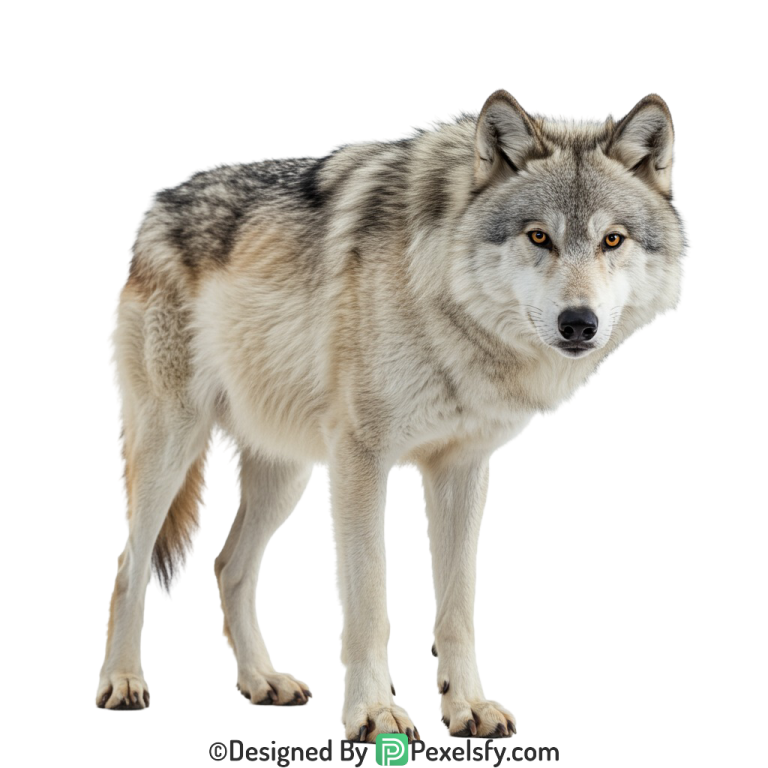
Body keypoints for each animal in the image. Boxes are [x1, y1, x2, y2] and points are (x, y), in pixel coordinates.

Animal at [97, 88, 690, 740]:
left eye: (613, 240)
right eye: (539, 237)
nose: (578, 323)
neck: (442, 300)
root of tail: (155, 204)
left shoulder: (462, 467)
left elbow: (456, 608)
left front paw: (468, 706)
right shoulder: (359, 460)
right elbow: (367, 604)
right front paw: (374, 713)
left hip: (286, 476)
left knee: (228, 566)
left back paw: (262, 682)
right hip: (170, 452)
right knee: (128, 568)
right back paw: (122, 683)